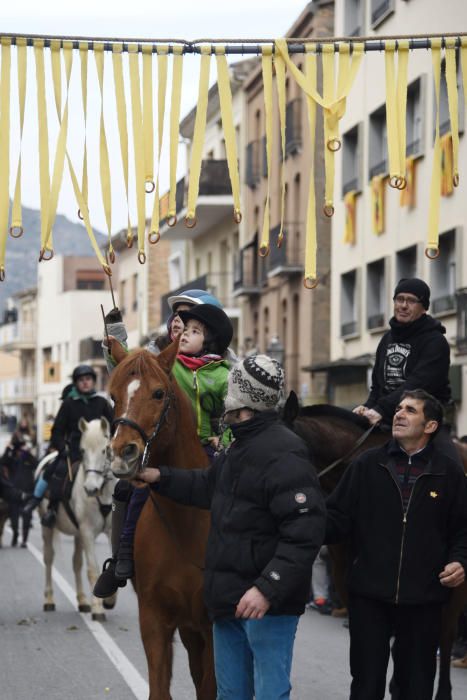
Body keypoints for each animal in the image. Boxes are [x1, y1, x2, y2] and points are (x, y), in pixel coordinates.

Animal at [36, 416, 117, 616]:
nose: (90, 489)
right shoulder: (87, 532)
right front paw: (98, 608)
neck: (103, 493)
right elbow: (93, 569)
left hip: (78, 534)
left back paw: (82, 600)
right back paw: (49, 599)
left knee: (76, 563)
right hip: (48, 528)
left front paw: (109, 600)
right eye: (82, 450)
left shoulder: (110, 531)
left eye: (105, 450)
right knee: (48, 559)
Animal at [108, 340, 216, 700]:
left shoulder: (214, 624)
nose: (122, 453)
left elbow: (213, 686)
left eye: (158, 393)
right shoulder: (155, 619)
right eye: (113, 396)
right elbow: (159, 688)